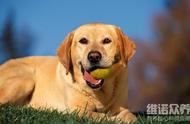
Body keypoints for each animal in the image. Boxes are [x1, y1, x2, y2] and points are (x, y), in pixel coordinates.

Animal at [0, 23, 137, 123]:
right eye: (83, 41)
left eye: (107, 40)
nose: (94, 56)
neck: (100, 92)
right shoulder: (78, 110)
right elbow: (100, 116)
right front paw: (116, 119)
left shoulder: (120, 106)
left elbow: (129, 114)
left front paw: (127, 117)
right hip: (26, 81)